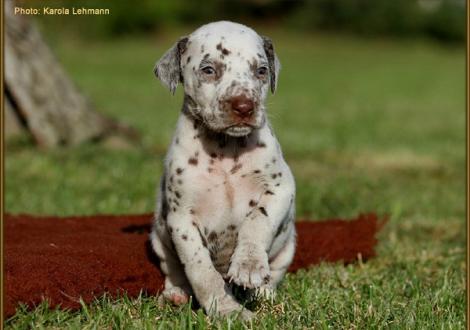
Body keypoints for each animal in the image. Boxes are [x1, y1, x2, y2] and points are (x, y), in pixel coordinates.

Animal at [151, 21, 296, 320]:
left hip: (287, 249)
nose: (244, 106)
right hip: (159, 242)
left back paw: (263, 294)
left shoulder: (281, 189)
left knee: (272, 276)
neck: (226, 149)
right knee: (175, 273)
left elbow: (258, 220)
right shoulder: (182, 220)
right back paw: (175, 296)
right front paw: (228, 311)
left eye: (261, 71)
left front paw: (249, 264)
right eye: (209, 70)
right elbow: (202, 271)